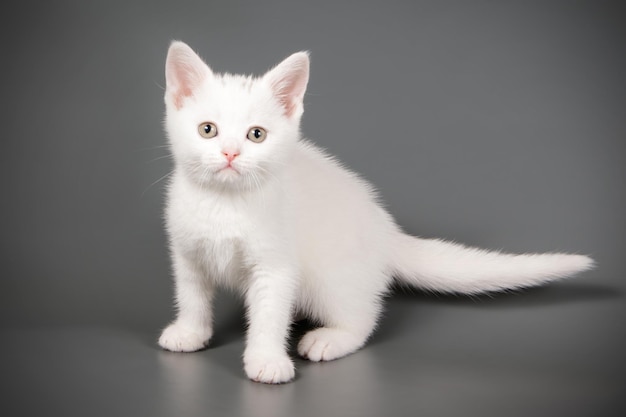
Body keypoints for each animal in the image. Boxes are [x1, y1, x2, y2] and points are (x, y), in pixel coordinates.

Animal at [158, 42, 592, 384]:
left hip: (329, 276)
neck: (225, 203)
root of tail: (387, 234)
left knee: (363, 317)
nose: (230, 154)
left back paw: (331, 338)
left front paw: (266, 360)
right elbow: (191, 295)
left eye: (256, 135)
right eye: (208, 130)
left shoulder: (276, 265)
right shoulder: (186, 253)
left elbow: (268, 314)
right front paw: (190, 332)